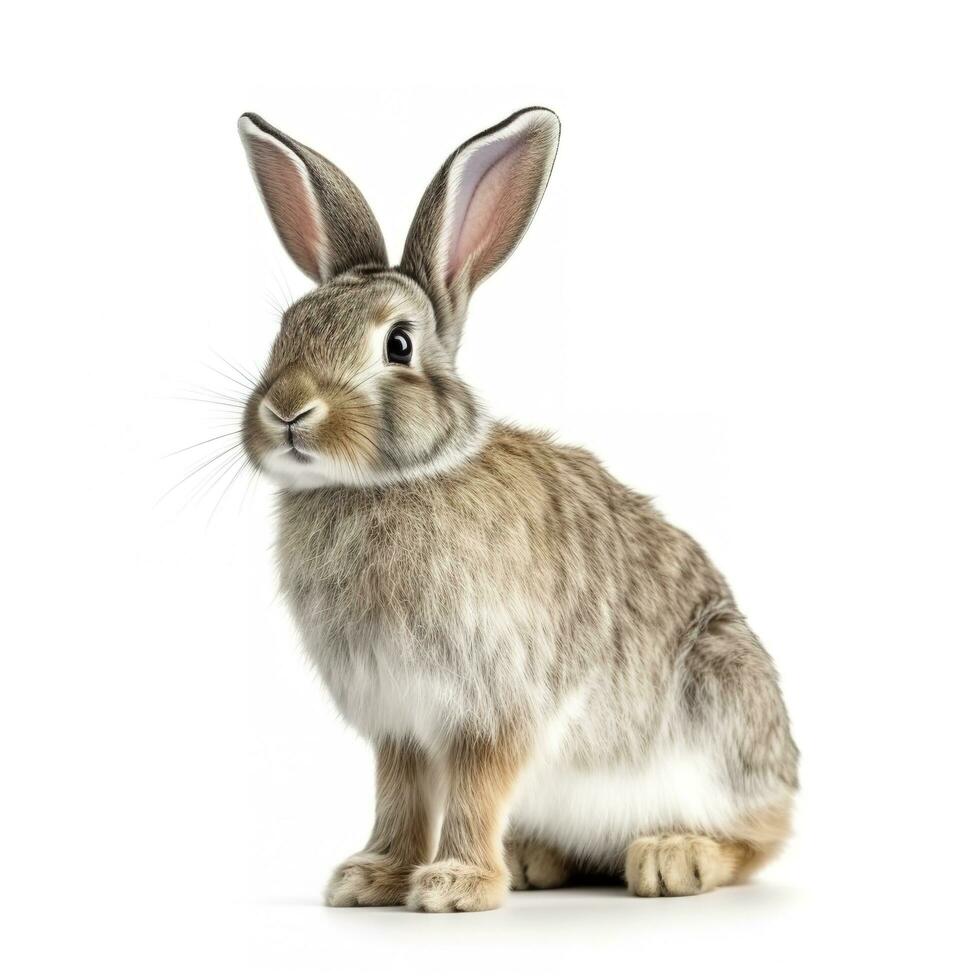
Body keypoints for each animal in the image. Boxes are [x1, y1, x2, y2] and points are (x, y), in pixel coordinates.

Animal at [237, 107, 796, 912]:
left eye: (398, 344)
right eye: (286, 327)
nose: (286, 410)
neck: (386, 483)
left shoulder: (495, 703)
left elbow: (474, 788)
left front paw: (455, 885)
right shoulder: (397, 723)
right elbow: (399, 796)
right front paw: (370, 876)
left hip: (721, 706)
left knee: (758, 839)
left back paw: (673, 857)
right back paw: (535, 860)